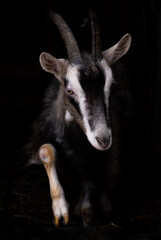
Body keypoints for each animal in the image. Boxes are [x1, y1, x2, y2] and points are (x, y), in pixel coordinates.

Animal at [25, 10, 131, 226]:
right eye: (69, 90)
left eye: (111, 85)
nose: (103, 139)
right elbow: (45, 151)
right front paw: (60, 210)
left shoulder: (98, 157)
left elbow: (87, 209)